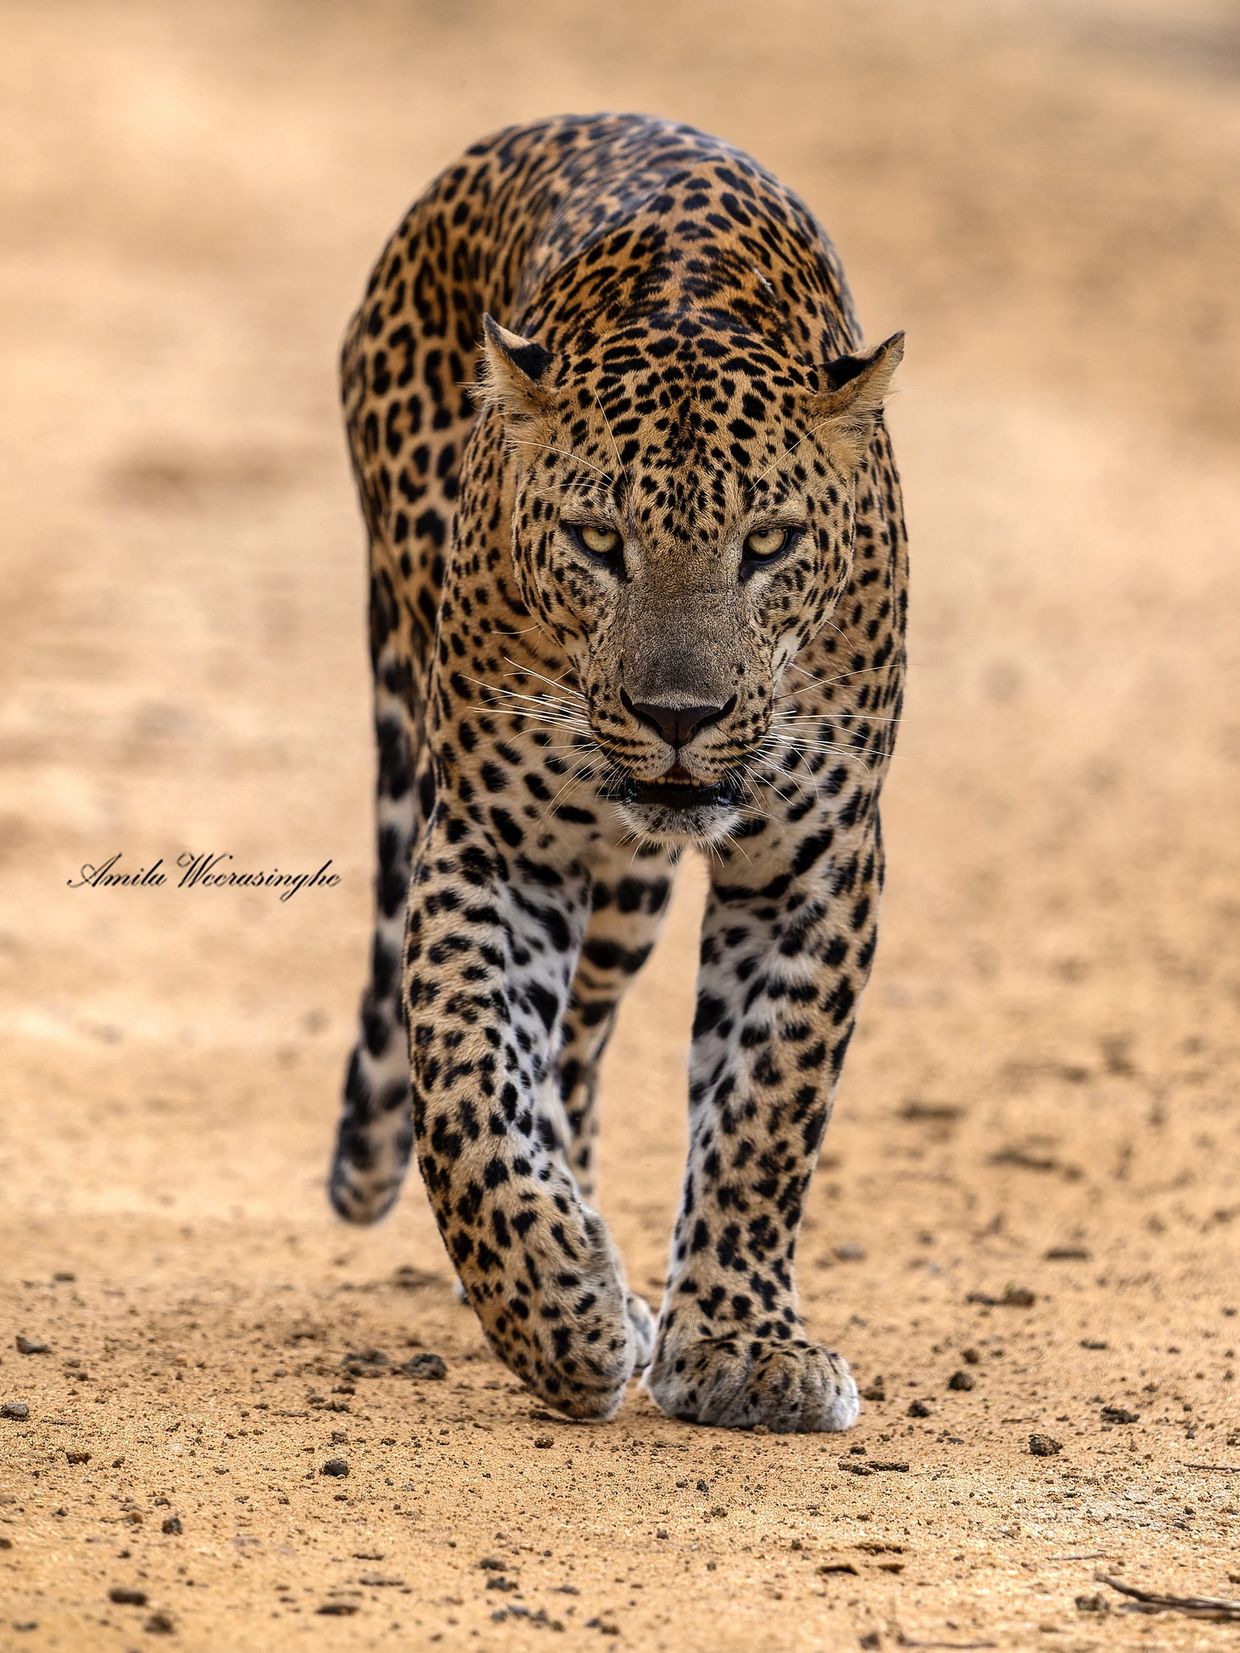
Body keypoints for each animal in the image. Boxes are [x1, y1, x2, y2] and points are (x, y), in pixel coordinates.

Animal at [326, 113, 907, 1432]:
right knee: (529, 1067)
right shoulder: (497, 844)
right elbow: (464, 1080)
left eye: (768, 545)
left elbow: (765, 1104)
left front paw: (742, 1347)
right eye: (598, 542)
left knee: (580, 1053)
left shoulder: (816, 860)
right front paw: (553, 1316)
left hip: (628, 890)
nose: (678, 716)